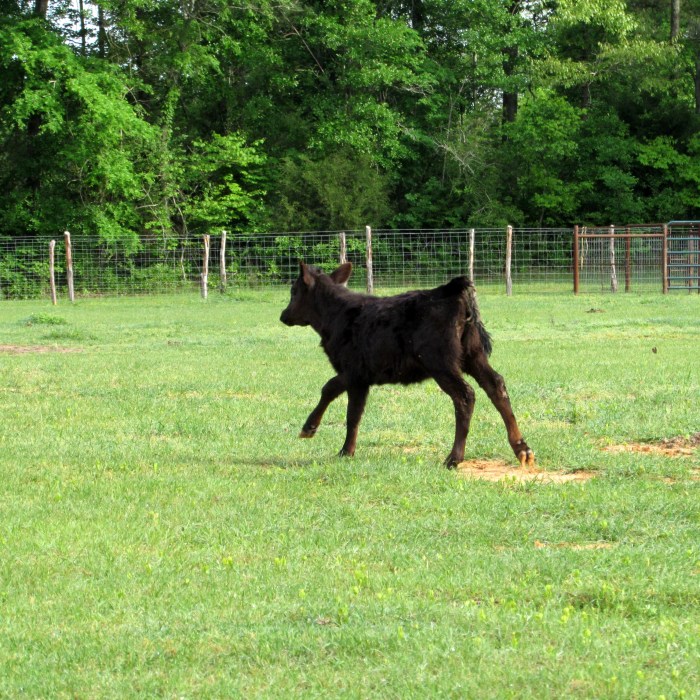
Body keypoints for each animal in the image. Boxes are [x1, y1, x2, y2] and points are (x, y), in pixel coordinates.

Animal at [280, 261, 534, 468]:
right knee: (496, 385)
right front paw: (346, 450)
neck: (335, 317)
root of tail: (452, 290)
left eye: (293, 291)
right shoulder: (362, 377)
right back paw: (522, 449)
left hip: (440, 361)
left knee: (465, 395)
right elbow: (354, 413)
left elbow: (336, 396)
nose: (283, 315)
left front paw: (316, 433)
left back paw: (454, 458)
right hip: (473, 355)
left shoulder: (353, 371)